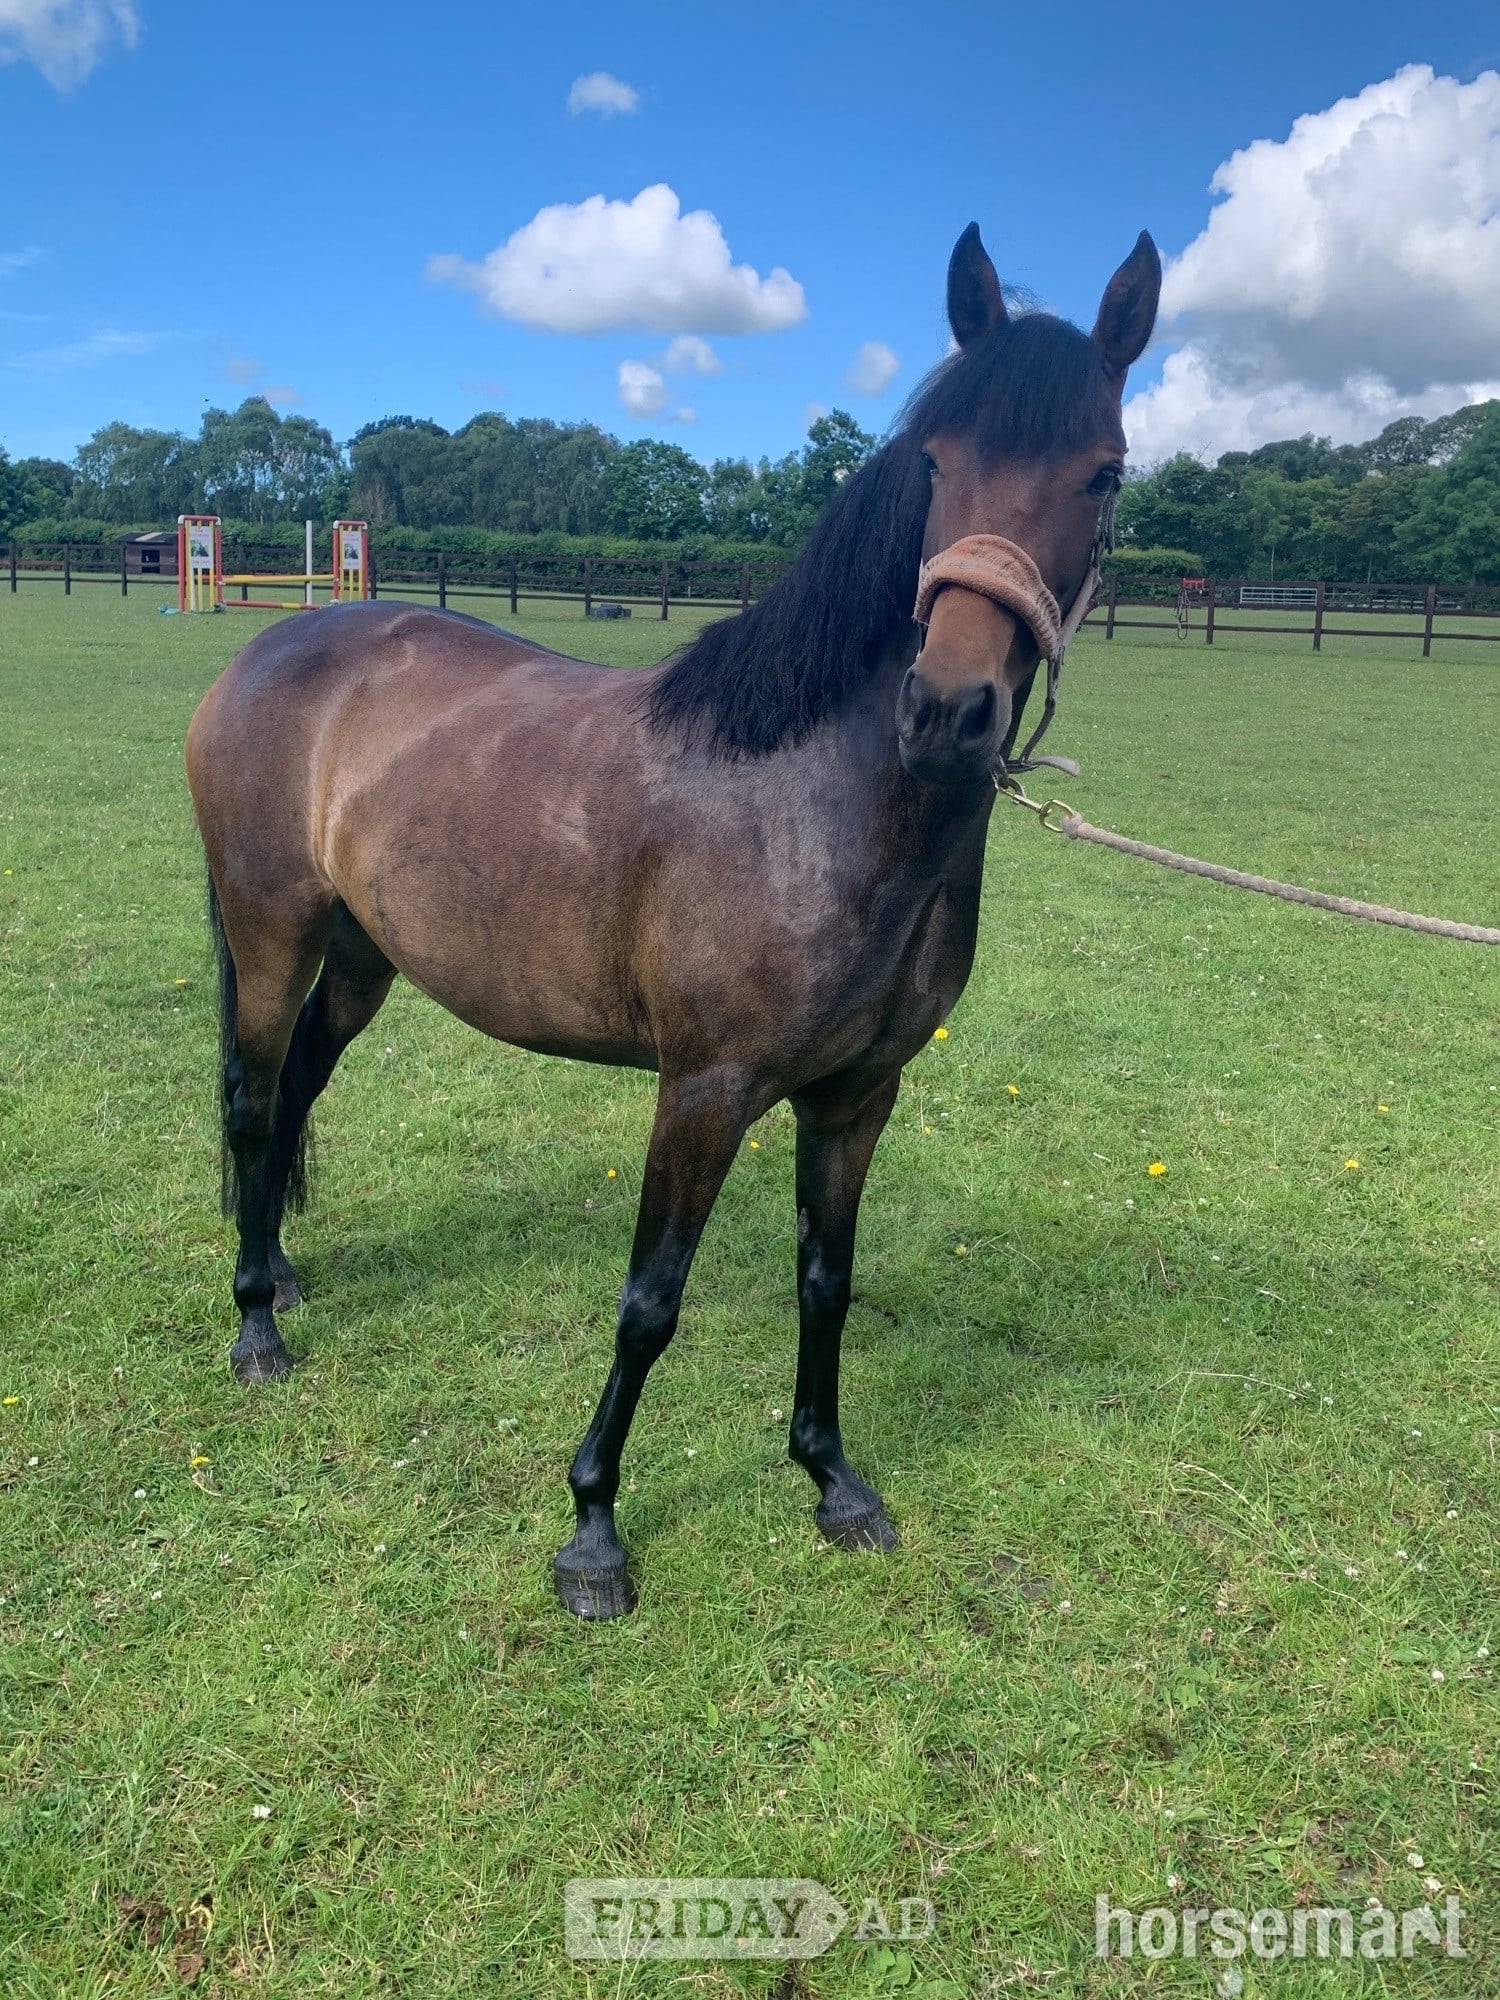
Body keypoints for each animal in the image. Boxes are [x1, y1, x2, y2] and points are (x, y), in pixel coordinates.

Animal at [186, 222, 1161, 1618]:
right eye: (934, 460)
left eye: (1103, 473)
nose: (946, 709)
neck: (814, 796)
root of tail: (267, 651)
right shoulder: (704, 1088)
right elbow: (651, 1301)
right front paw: (592, 1529)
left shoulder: (856, 1096)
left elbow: (828, 1280)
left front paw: (832, 1478)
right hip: (272, 931)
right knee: (254, 1098)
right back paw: (257, 1323)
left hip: (365, 956)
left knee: (301, 1086)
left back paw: (283, 1268)